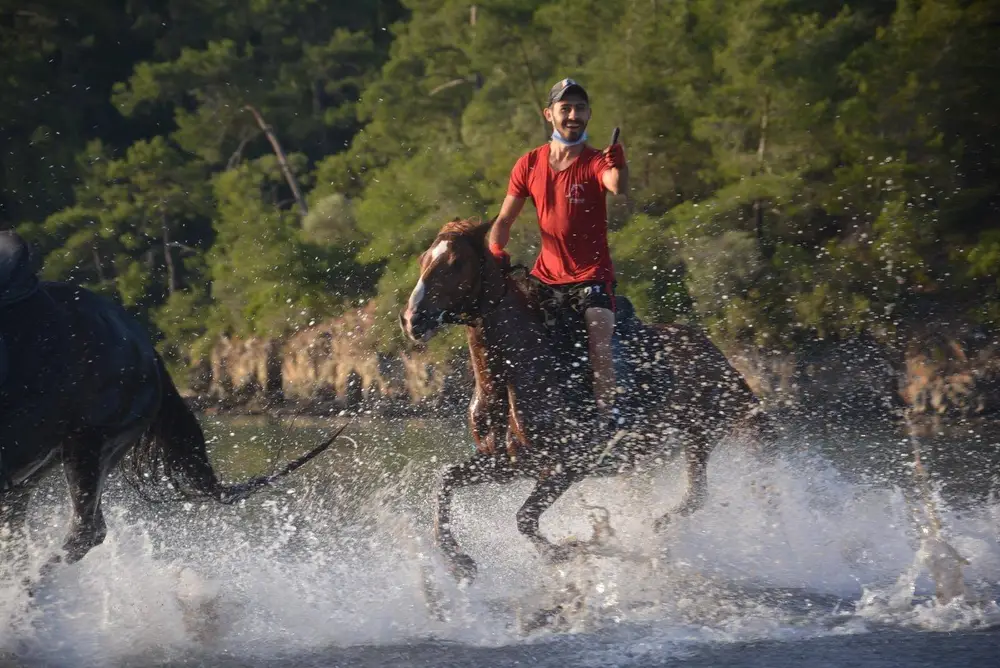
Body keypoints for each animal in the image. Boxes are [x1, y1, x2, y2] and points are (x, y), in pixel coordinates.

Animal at [399, 218, 768, 582]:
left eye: (455, 263)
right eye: (423, 260)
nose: (412, 319)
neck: (517, 376)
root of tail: (718, 356)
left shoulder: (565, 468)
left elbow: (525, 519)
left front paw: (575, 550)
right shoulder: (507, 464)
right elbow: (447, 479)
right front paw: (458, 559)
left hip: (700, 436)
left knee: (696, 495)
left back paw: (655, 532)